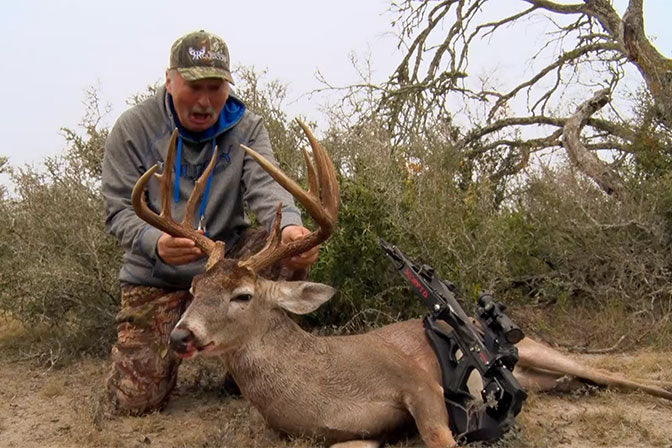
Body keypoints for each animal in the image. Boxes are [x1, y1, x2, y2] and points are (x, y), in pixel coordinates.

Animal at [131, 120, 672, 448]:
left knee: (610, 374)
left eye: (242, 295)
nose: (180, 335)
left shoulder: (417, 381)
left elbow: (440, 435)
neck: (320, 385)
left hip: (542, 349)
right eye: (195, 290)